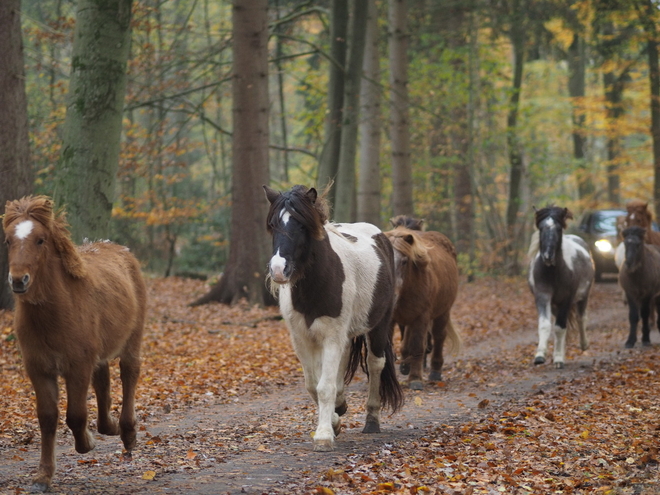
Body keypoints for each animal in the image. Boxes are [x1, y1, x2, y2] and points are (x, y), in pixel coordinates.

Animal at [2, 198, 147, 492]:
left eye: (41, 240)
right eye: (8, 240)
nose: (18, 280)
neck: (56, 311)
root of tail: (120, 249)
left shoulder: (77, 366)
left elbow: (76, 415)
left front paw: (86, 443)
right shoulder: (39, 368)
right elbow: (47, 417)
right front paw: (43, 476)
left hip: (132, 340)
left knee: (129, 374)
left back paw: (127, 432)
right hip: (98, 352)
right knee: (103, 379)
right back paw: (109, 426)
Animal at [262, 185, 402, 454]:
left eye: (302, 225)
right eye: (273, 225)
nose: (278, 270)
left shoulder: (332, 335)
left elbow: (324, 387)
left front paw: (324, 435)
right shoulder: (302, 340)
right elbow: (312, 385)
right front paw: (334, 422)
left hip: (378, 325)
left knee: (375, 364)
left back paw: (372, 420)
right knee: (343, 362)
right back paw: (341, 405)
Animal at [384, 222, 462, 392]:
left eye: (404, 261)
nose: (391, 296)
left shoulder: (421, 317)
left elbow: (417, 346)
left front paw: (415, 379)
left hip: (442, 313)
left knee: (439, 337)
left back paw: (435, 372)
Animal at [528, 206, 596, 368]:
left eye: (558, 229)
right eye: (541, 228)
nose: (547, 256)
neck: (553, 272)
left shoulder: (567, 299)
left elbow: (560, 328)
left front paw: (558, 358)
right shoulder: (543, 296)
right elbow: (545, 325)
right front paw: (540, 356)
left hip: (583, 297)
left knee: (580, 318)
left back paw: (584, 344)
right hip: (555, 305)